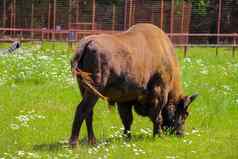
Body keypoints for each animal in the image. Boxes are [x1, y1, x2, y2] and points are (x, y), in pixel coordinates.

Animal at [69, 23, 198, 147]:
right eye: (185, 114)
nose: (180, 134)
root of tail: (86, 43)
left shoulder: (125, 100)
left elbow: (127, 119)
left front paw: (127, 137)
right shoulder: (159, 93)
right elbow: (157, 117)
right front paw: (158, 135)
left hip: (84, 89)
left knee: (89, 112)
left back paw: (92, 141)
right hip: (95, 90)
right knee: (82, 110)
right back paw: (74, 144)